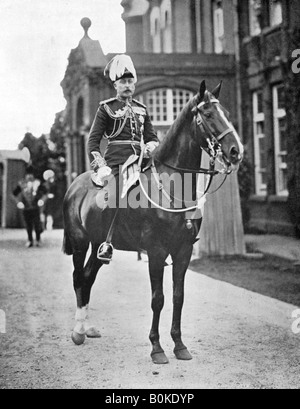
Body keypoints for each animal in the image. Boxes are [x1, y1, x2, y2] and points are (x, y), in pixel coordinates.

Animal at [62, 80, 244, 364]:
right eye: (207, 114)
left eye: (225, 111)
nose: (236, 151)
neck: (174, 188)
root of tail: (75, 185)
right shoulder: (156, 252)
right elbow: (157, 299)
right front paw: (157, 347)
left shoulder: (183, 250)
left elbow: (178, 297)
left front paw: (179, 345)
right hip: (80, 243)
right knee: (78, 277)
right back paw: (78, 331)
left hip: (98, 243)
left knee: (89, 277)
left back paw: (87, 327)